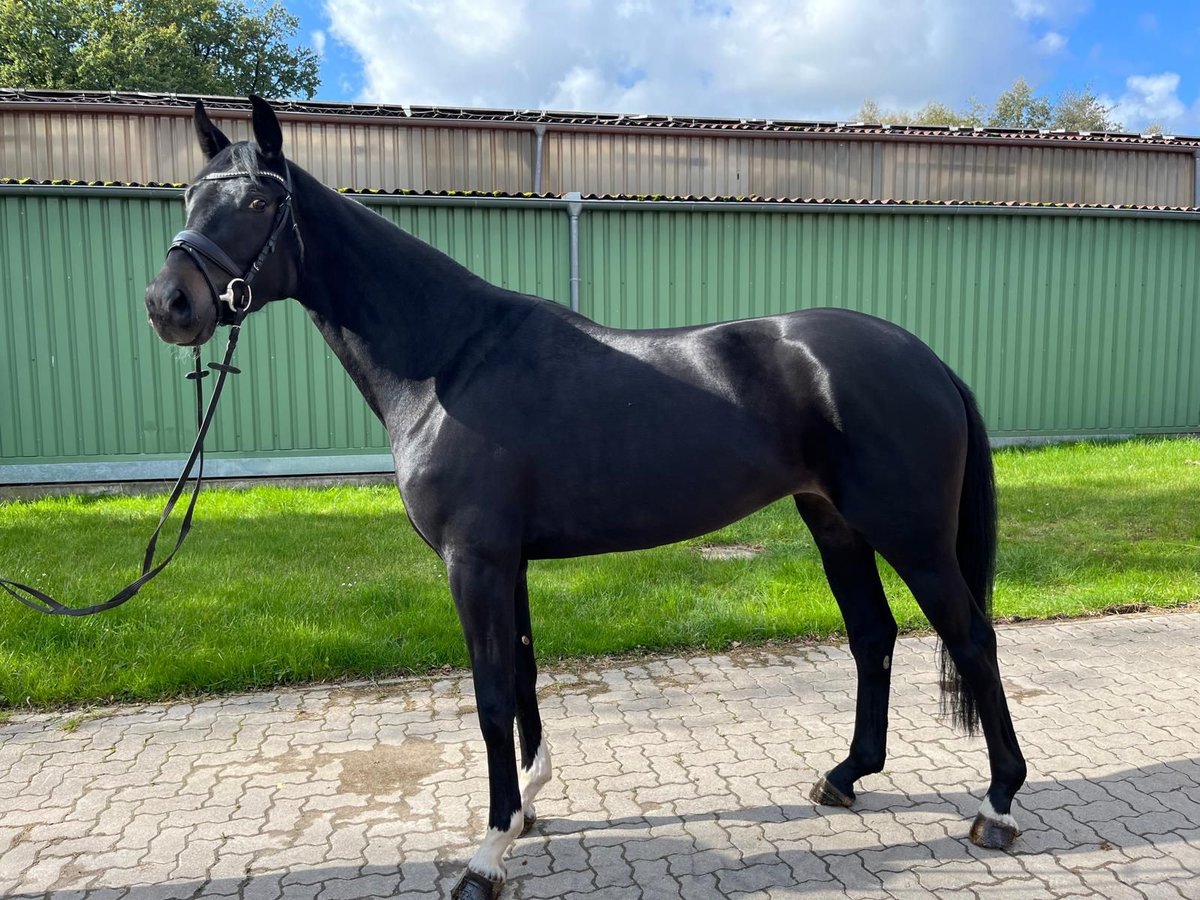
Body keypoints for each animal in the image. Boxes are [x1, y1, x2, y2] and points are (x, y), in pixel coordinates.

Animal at [140, 100, 1022, 900]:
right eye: (189, 196)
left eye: (260, 202)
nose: (168, 303)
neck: (450, 361)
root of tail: (927, 360)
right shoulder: (508, 563)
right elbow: (525, 677)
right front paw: (528, 809)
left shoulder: (475, 562)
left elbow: (492, 695)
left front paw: (487, 855)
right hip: (835, 524)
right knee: (872, 635)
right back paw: (845, 777)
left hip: (910, 534)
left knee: (972, 640)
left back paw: (998, 806)